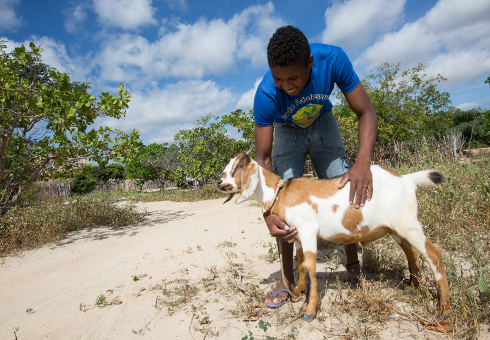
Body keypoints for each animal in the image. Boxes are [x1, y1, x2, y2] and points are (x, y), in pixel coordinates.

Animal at [218, 151, 452, 322]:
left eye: (237, 167)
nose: (220, 184)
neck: (280, 192)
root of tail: (406, 179)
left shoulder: (308, 230)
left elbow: (309, 266)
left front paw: (309, 310)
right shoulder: (297, 236)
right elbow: (299, 262)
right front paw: (300, 291)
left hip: (407, 224)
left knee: (434, 254)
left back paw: (443, 308)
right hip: (396, 229)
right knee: (411, 252)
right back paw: (412, 287)